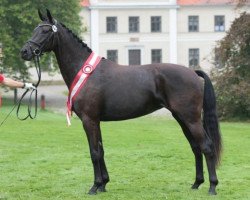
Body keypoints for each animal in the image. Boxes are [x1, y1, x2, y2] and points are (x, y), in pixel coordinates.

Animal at [20, 9, 222, 195]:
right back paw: (196, 183)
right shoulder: (96, 121)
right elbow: (101, 150)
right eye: (35, 29)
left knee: (206, 146)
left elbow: (94, 152)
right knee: (196, 147)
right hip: (181, 118)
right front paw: (103, 184)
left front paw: (94, 186)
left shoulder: (89, 120)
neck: (87, 73)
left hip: (191, 118)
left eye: (46, 30)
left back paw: (212, 186)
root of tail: (193, 72)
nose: (25, 51)